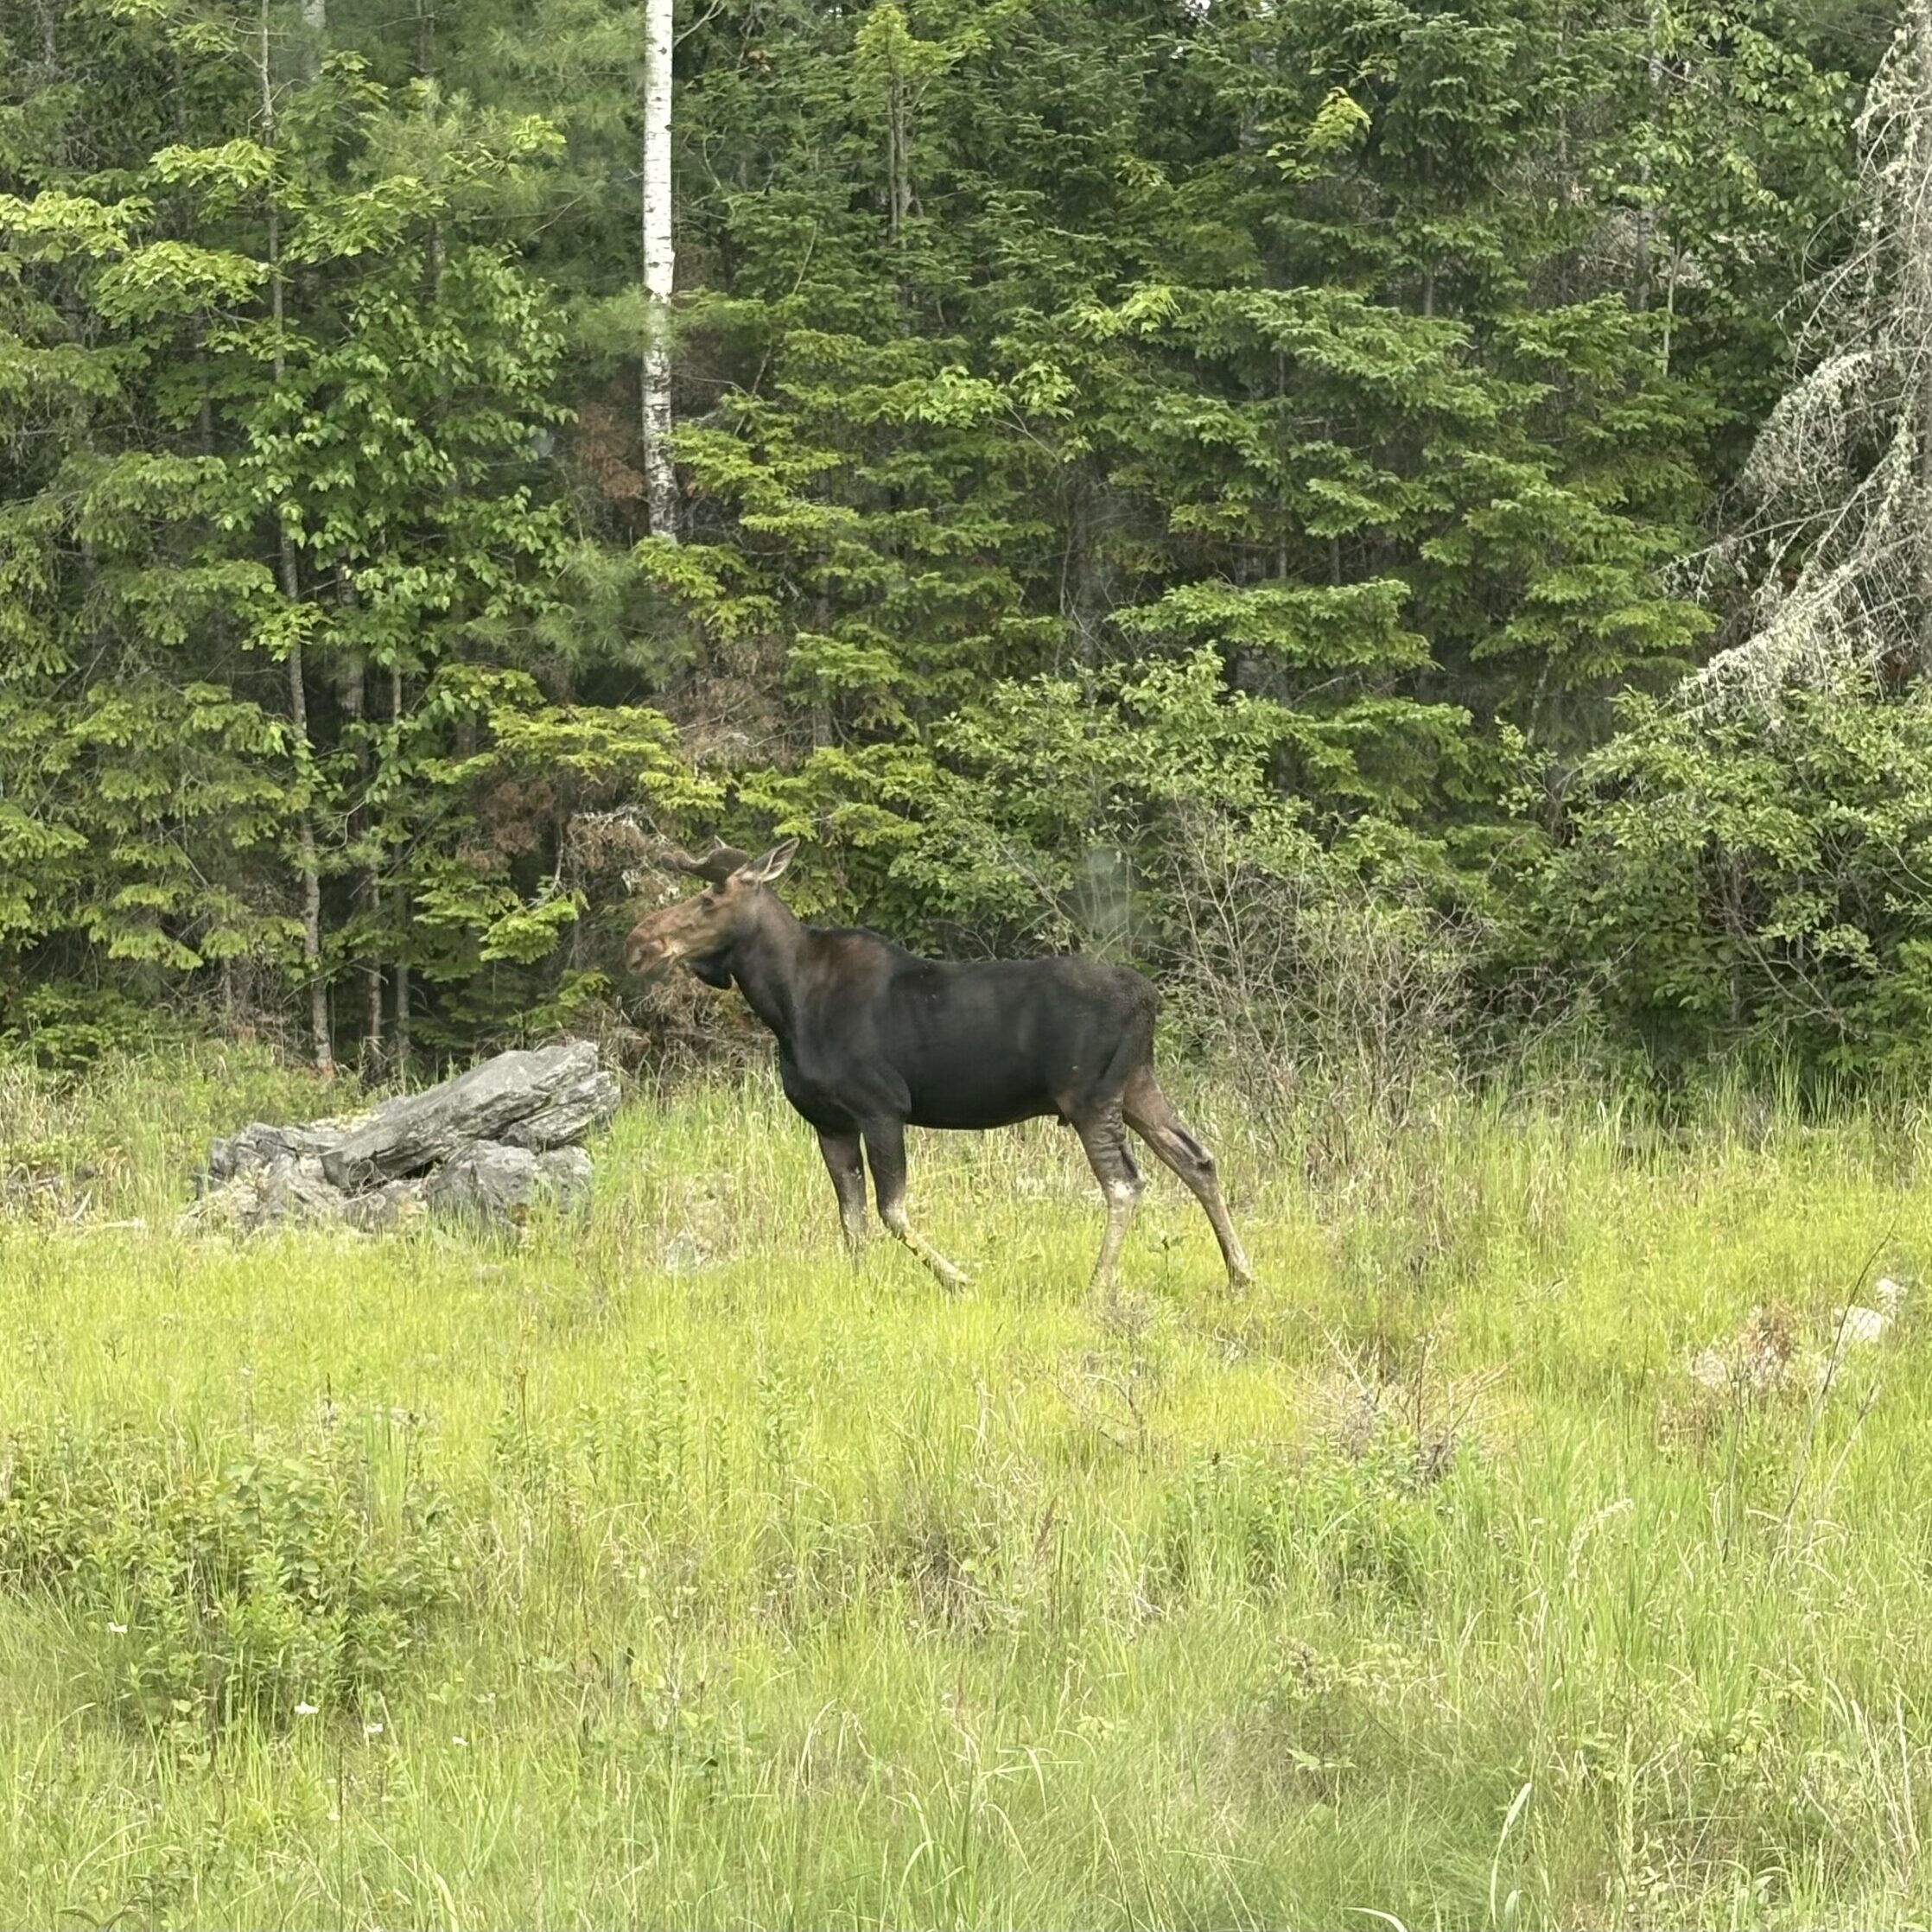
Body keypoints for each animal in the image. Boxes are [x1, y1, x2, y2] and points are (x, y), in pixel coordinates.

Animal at [624, 839, 1252, 1296]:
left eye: (710, 899)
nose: (638, 943)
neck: (784, 1003)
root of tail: (1151, 999)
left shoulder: (881, 1107)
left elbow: (891, 1210)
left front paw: (959, 1279)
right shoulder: (828, 1121)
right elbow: (851, 1219)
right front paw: (860, 1288)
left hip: (1089, 1096)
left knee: (1125, 1182)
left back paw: (1099, 1285)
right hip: (1137, 1084)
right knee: (1197, 1159)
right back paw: (1240, 1273)